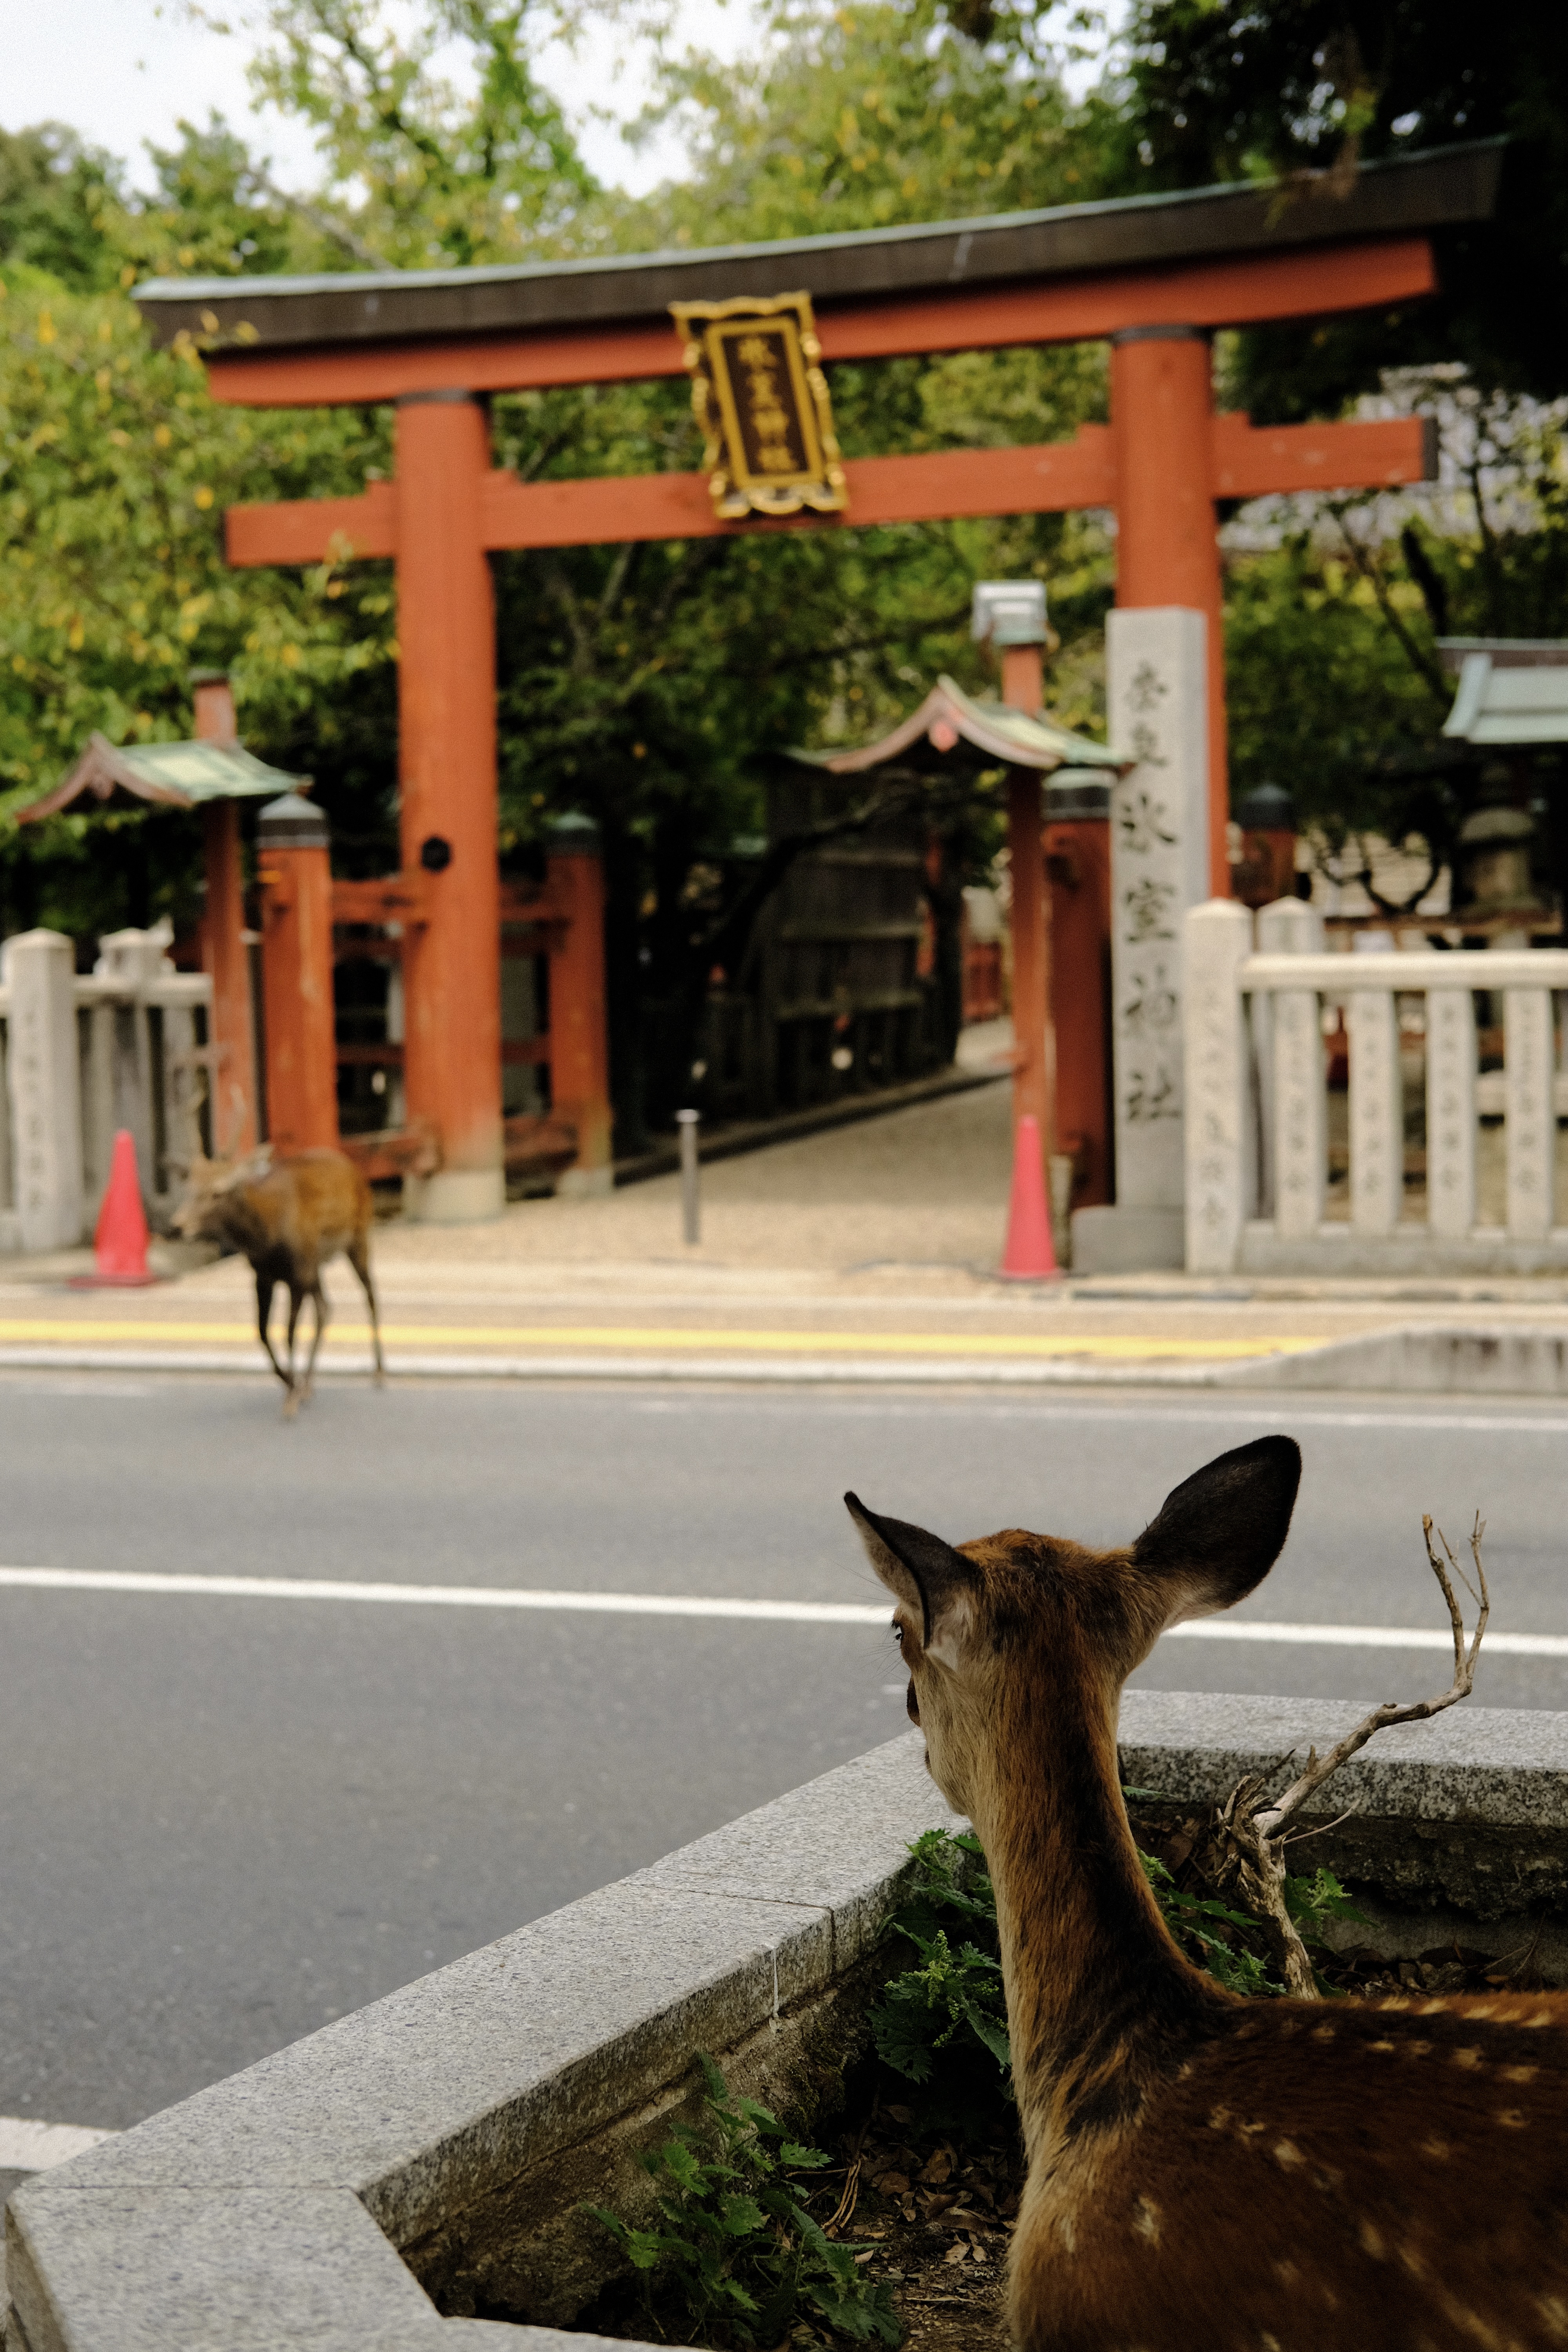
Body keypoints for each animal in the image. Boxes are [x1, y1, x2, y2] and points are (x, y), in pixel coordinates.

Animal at [173, 1145, 385, 1418]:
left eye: (217, 1193)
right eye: (188, 1188)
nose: (177, 1226)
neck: (267, 1238)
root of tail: (352, 1167)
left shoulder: (298, 1274)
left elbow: (289, 1334)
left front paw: (291, 1398)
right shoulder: (263, 1276)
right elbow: (263, 1332)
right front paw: (289, 1383)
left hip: (358, 1237)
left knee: (370, 1295)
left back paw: (379, 1372)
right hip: (315, 1264)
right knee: (325, 1308)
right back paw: (307, 1385)